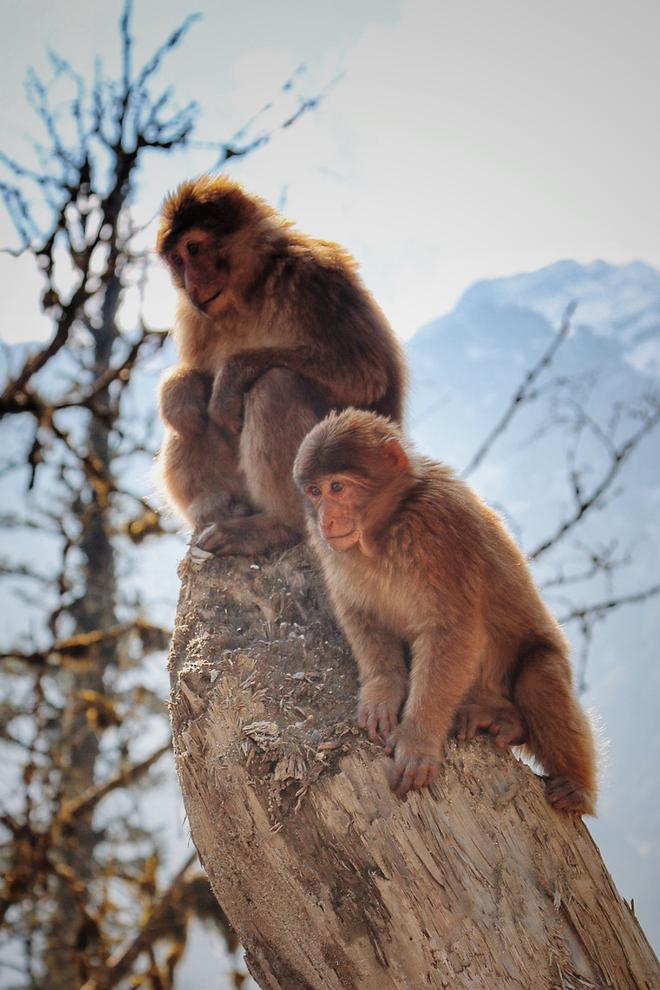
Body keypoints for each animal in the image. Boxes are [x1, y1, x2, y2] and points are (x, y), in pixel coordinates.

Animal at [157, 173, 404, 556]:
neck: (248, 293)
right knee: (191, 420)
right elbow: (195, 380)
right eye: (176, 259)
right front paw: (179, 390)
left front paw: (233, 375)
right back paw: (216, 505)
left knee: (276, 385)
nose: (191, 284)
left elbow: (365, 374)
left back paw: (278, 526)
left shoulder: (314, 279)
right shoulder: (193, 317)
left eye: (193, 249)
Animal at [294, 408, 600, 812]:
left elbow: (452, 631)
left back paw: (573, 784)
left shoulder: (443, 529)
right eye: (314, 491)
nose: (325, 519)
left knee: (541, 674)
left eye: (337, 488)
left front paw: (418, 740)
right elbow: (361, 613)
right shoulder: (331, 551)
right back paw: (504, 721)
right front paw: (383, 689)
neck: (390, 525)